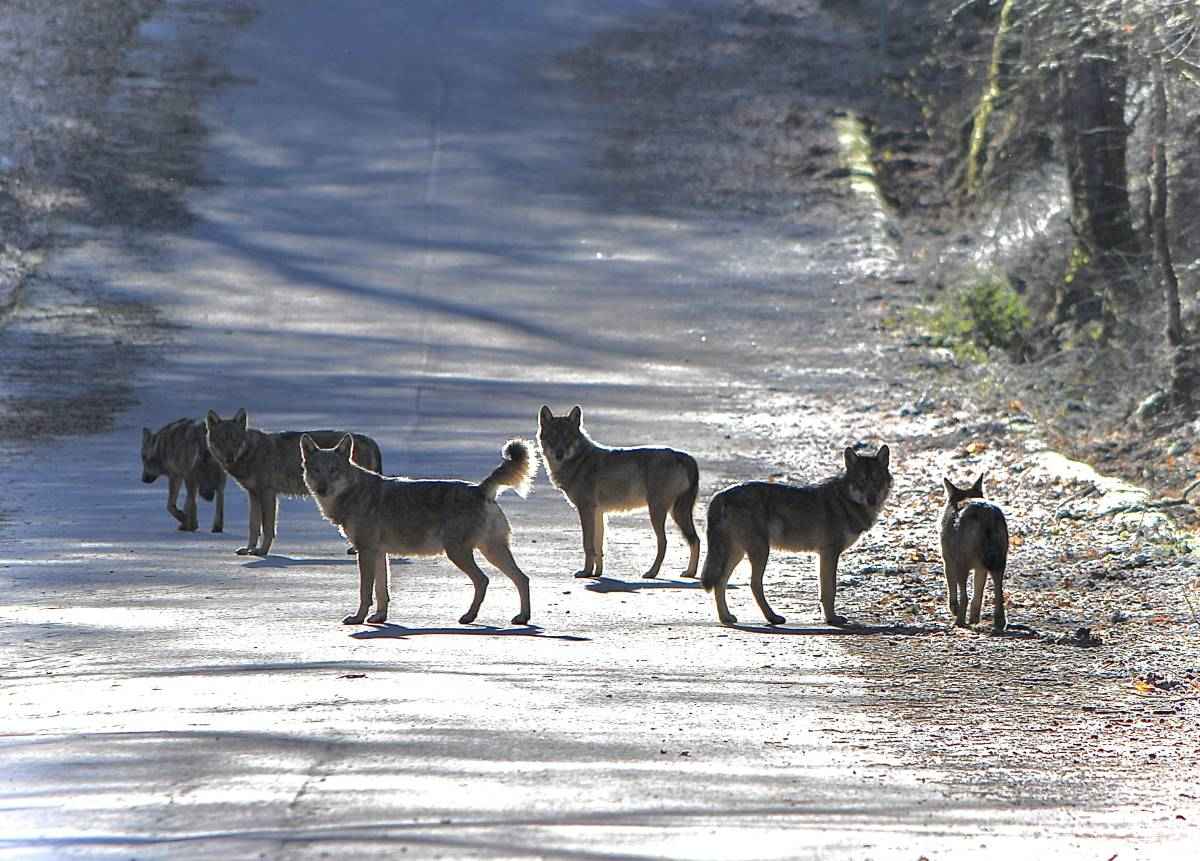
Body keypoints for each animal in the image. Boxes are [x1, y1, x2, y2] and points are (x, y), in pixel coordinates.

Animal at [205, 409, 382, 557]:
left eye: (235, 440)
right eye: (221, 440)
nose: (229, 457)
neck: (252, 453)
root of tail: (369, 439)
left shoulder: (268, 493)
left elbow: (267, 528)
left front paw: (262, 551)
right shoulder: (253, 495)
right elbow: (253, 526)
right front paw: (249, 549)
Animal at [300, 434, 537, 626]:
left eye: (334, 471)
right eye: (316, 471)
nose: (322, 489)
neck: (354, 493)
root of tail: (479, 489)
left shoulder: (365, 553)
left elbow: (365, 592)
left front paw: (358, 619)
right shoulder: (378, 554)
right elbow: (382, 591)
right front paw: (379, 617)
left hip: (459, 553)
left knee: (484, 580)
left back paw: (469, 616)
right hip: (492, 551)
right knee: (522, 579)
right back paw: (522, 617)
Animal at [537, 405, 700, 579]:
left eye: (567, 438)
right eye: (553, 438)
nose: (559, 454)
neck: (579, 461)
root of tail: (685, 456)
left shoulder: (586, 510)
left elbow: (588, 545)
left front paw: (586, 572)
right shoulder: (598, 513)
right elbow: (599, 547)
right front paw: (597, 573)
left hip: (659, 513)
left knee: (665, 543)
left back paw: (652, 572)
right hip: (676, 513)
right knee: (696, 540)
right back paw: (690, 572)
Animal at [701, 445, 892, 626]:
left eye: (877, 480)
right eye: (861, 481)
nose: (872, 499)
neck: (844, 500)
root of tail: (721, 494)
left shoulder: (823, 555)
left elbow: (824, 590)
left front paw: (827, 617)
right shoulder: (830, 553)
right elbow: (830, 590)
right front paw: (832, 619)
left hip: (738, 554)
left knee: (720, 582)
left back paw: (726, 617)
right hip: (760, 551)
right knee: (753, 584)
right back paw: (772, 617)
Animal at [941, 474, 1008, 631]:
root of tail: (986, 511)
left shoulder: (948, 562)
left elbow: (953, 592)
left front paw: (956, 611)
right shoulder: (981, 569)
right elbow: (977, 596)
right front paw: (974, 619)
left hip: (962, 566)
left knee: (964, 597)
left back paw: (958, 622)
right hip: (998, 565)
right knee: (999, 594)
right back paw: (999, 623)